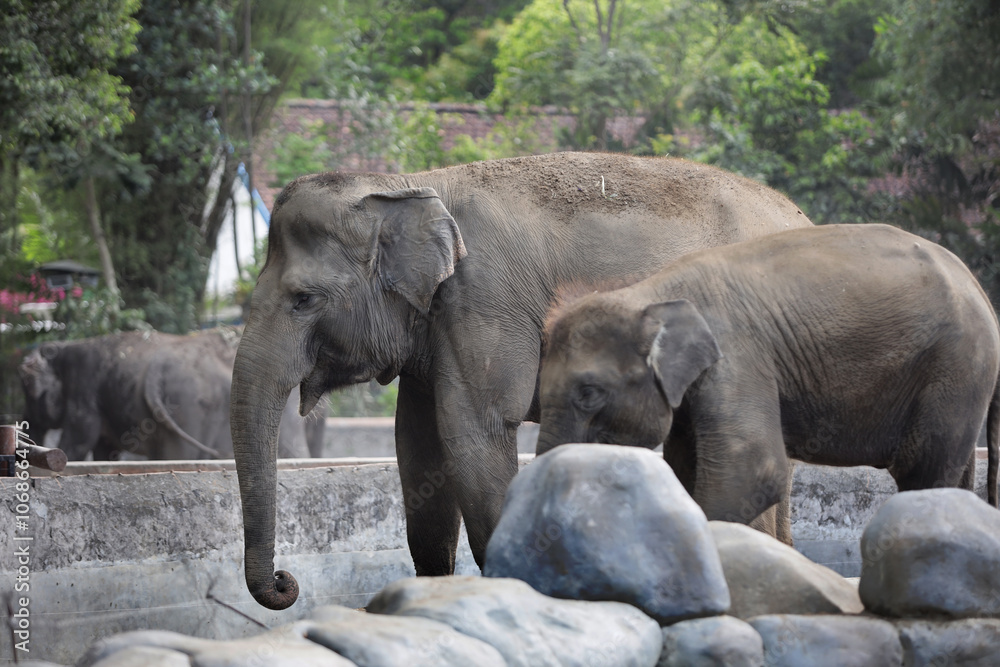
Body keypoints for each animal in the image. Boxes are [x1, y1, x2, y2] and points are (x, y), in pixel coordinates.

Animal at [18, 328, 320, 461]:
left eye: (29, 391)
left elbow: (79, 442)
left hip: (189, 406)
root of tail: (157, 367)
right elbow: (104, 448)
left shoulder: (84, 389)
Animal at [230, 151, 814, 610]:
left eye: (304, 299)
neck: (406, 185)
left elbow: (476, 436)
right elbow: (419, 452)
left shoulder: (483, 302)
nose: (285, 582)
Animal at [535, 223, 1000, 540]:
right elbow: (687, 467)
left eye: (589, 392)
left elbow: (753, 470)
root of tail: (980, 289)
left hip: (956, 367)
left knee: (923, 470)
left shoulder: (737, 356)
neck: (648, 292)